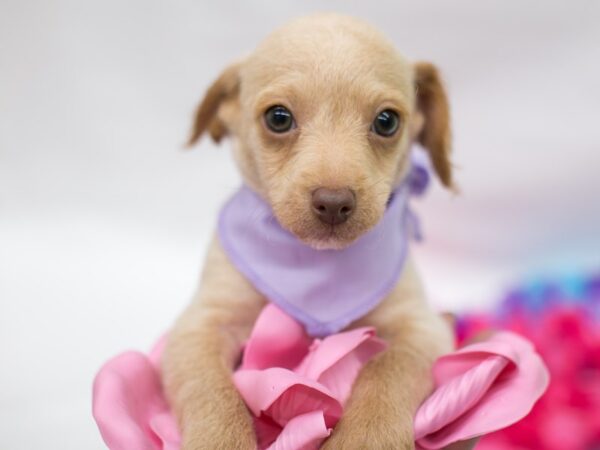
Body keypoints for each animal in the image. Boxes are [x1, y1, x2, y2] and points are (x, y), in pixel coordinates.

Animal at [163, 12, 454, 448]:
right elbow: (211, 391)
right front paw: (221, 437)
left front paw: (363, 437)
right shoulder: (199, 326)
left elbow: (386, 372)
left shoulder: (422, 329)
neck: (316, 269)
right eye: (278, 118)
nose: (333, 202)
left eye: (387, 122)